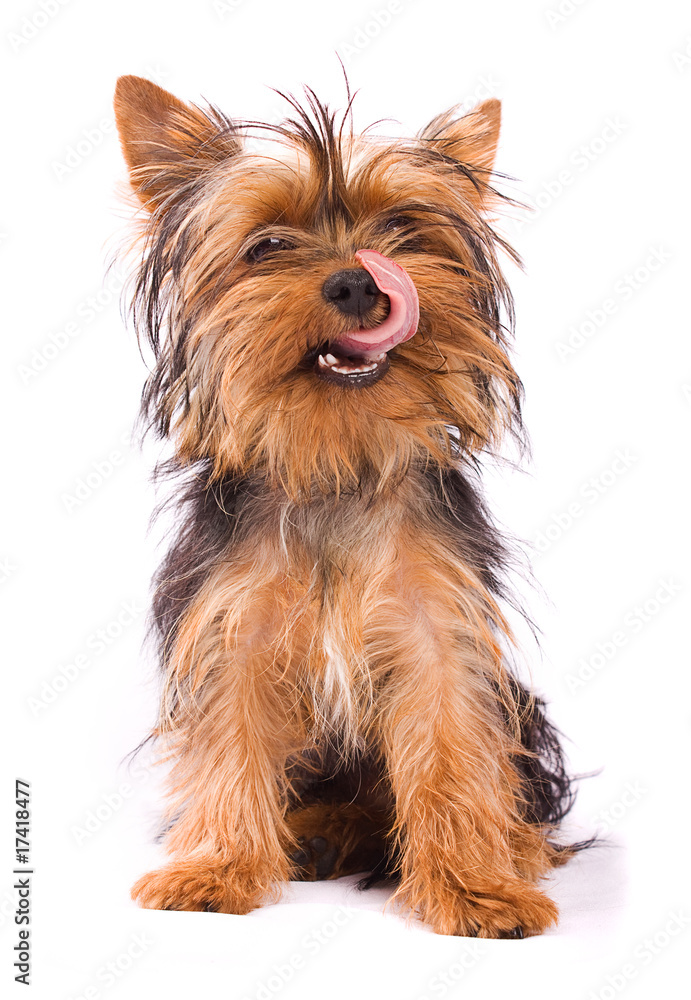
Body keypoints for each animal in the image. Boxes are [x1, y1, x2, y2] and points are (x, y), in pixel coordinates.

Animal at [116, 76, 580, 936]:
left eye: (401, 228)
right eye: (266, 245)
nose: (358, 280)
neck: (335, 455)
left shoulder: (438, 629)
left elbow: (451, 747)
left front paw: (474, 886)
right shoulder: (233, 625)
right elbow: (229, 740)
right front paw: (218, 867)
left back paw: (508, 845)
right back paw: (315, 834)